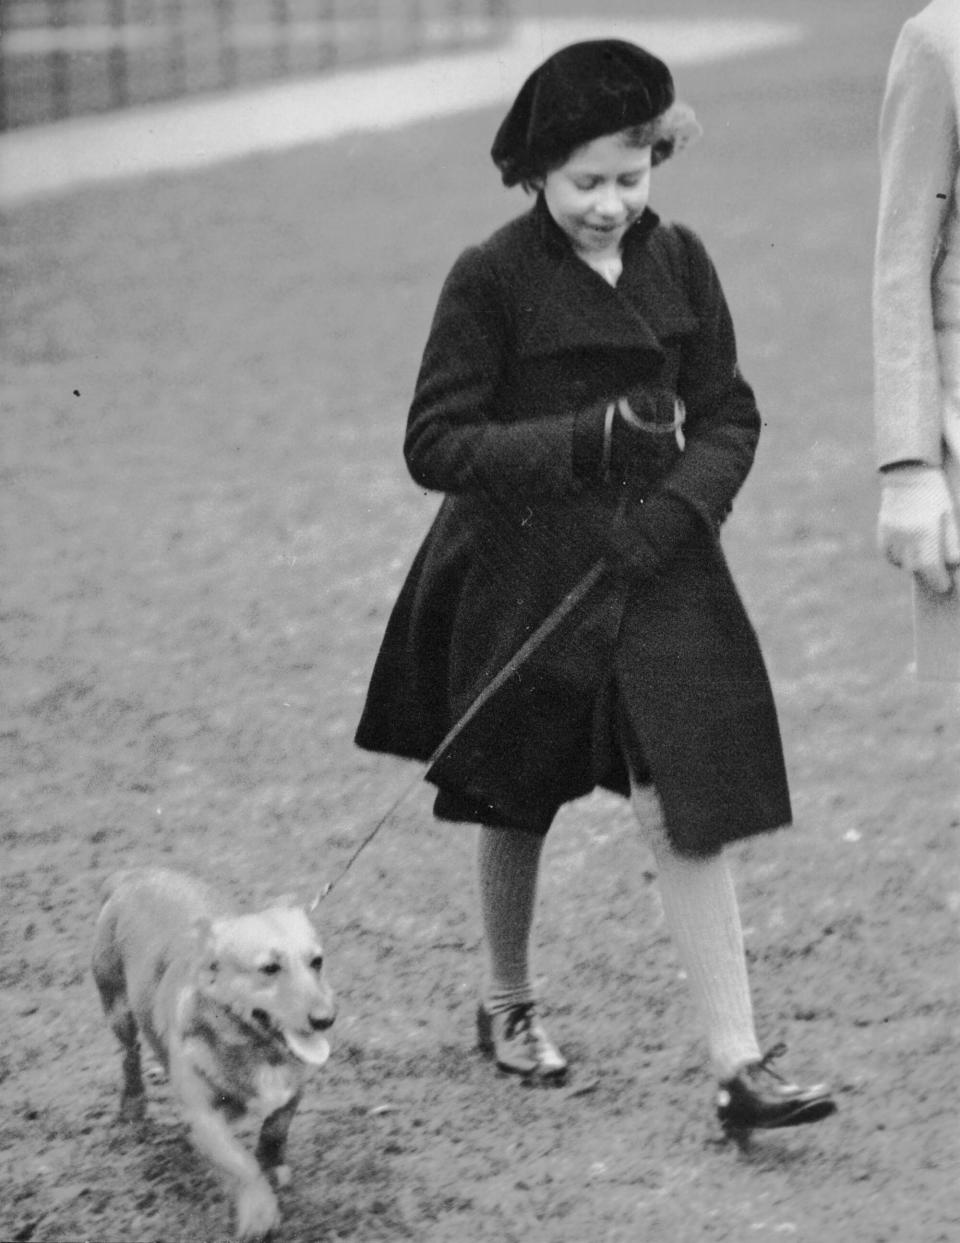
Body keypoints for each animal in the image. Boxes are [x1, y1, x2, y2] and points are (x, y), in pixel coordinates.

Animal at [92, 870, 335, 1238]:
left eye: (316, 962)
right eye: (269, 968)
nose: (325, 1019)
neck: (257, 1048)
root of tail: (135, 875)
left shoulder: (293, 1092)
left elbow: (274, 1132)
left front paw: (272, 1167)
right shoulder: (204, 1119)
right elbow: (241, 1163)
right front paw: (259, 1210)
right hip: (119, 1011)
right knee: (129, 1057)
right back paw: (133, 1105)